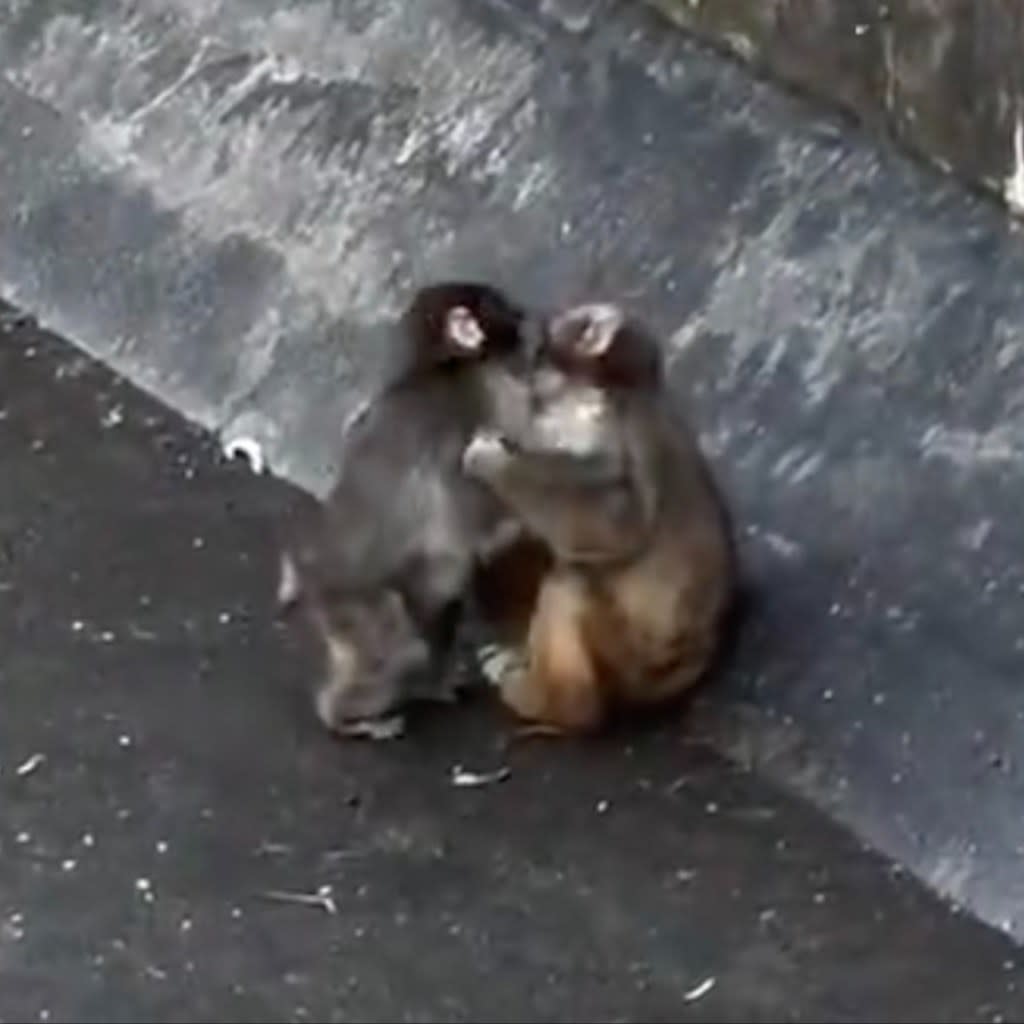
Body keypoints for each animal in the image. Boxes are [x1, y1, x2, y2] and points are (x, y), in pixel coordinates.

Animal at [277, 281, 549, 738]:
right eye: (502, 307)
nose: (526, 314)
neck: (436, 366)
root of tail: (312, 574)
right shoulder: (475, 401)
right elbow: (475, 517)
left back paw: (430, 685)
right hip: (354, 605)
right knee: (402, 647)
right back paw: (347, 718)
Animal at [462, 301, 740, 734]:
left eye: (544, 345)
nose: (528, 359)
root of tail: (696, 659)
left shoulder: (599, 423)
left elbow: (617, 523)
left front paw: (491, 461)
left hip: (634, 665)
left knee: (571, 582)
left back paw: (559, 706)